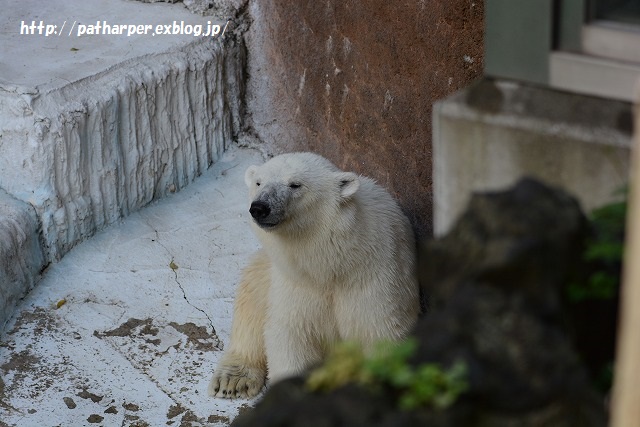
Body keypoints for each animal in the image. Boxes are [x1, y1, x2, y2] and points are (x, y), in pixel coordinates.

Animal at [210, 152, 420, 400]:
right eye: (258, 182)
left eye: (295, 184)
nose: (260, 207)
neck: (332, 265)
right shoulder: (295, 282)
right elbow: (291, 336)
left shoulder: (376, 275)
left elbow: (379, 333)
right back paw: (233, 380)